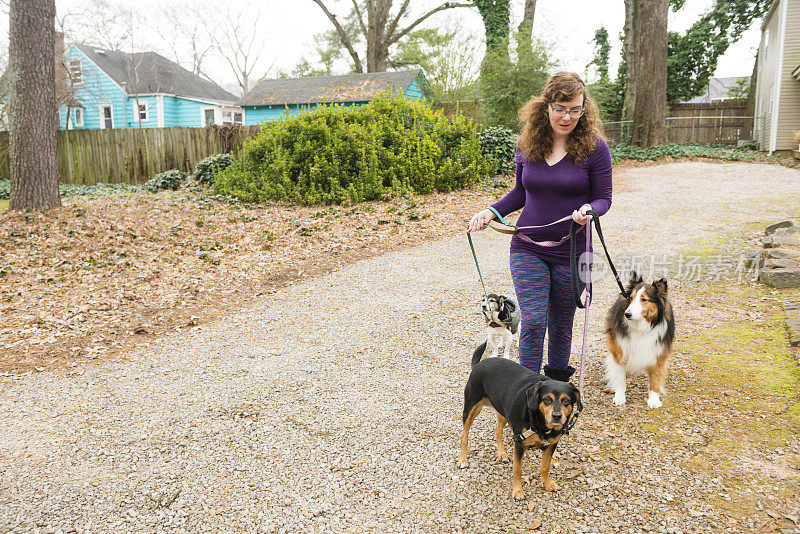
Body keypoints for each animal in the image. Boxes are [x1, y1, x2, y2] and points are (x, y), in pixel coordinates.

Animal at [456, 358, 580, 500]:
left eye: (566, 400)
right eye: (547, 399)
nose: (557, 416)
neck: (540, 424)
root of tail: (480, 362)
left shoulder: (551, 445)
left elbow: (545, 466)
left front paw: (547, 483)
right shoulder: (519, 444)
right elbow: (518, 470)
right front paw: (518, 491)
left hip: (503, 412)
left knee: (498, 431)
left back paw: (502, 453)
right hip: (471, 408)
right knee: (464, 435)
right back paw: (462, 459)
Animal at [604, 272, 672, 410]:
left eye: (644, 299)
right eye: (631, 298)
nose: (627, 314)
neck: (641, 327)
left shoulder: (658, 352)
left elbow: (655, 378)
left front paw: (654, 399)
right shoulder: (620, 350)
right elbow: (620, 377)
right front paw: (619, 397)